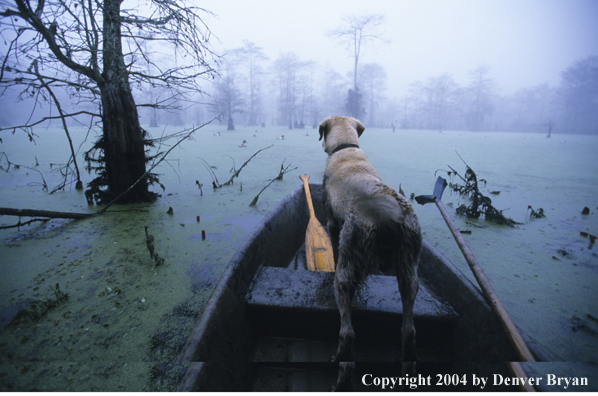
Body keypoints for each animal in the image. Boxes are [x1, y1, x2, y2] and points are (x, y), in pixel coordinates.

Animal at [318, 116, 422, 392]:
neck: (347, 149)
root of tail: (388, 215)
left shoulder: (333, 223)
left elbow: (333, 247)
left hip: (344, 274)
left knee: (347, 335)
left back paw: (340, 376)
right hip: (409, 272)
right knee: (409, 331)